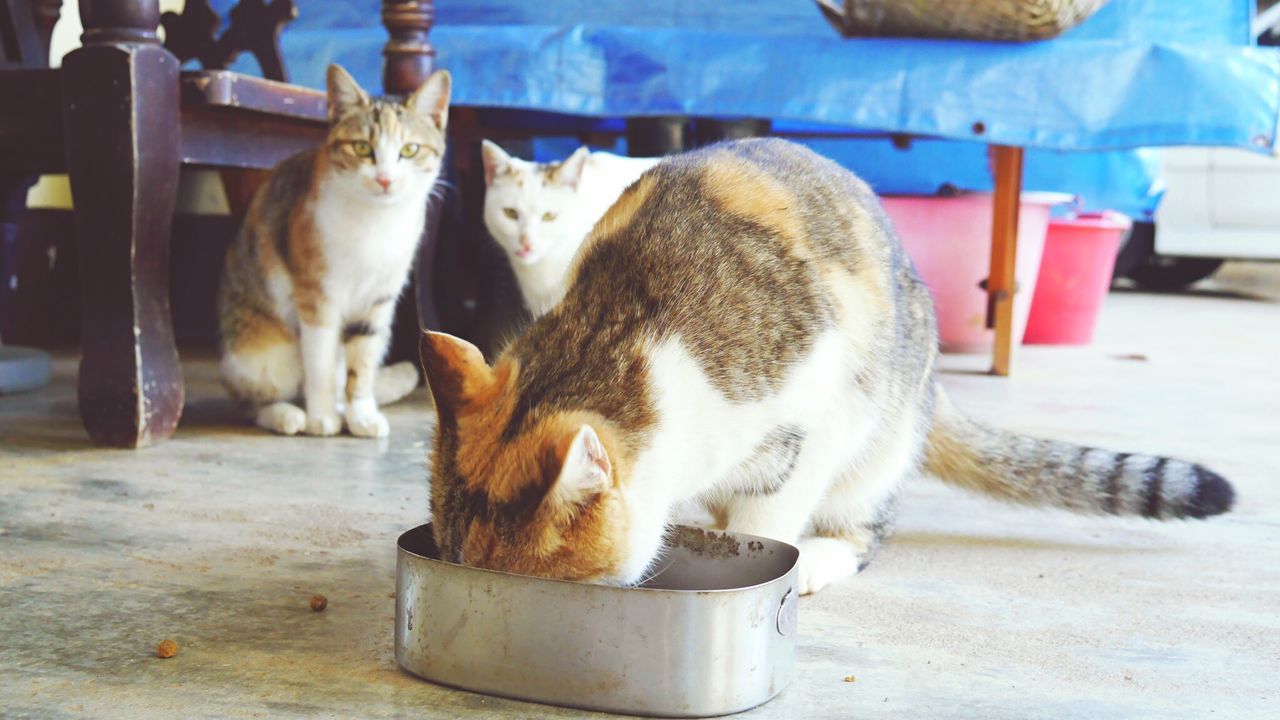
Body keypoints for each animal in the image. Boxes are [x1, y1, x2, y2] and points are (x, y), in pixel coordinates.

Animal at [222, 65, 453, 438]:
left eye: (410, 150)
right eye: (361, 148)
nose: (385, 179)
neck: (376, 222)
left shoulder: (378, 301)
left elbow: (362, 362)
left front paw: (361, 414)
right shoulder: (316, 294)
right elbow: (319, 360)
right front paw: (322, 417)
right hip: (260, 354)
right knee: (251, 401)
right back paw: (287, 414)